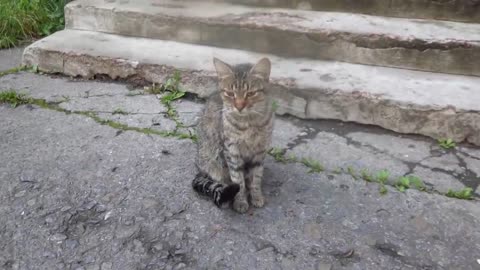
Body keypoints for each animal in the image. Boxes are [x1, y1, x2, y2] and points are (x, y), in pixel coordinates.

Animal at [191, 57, 274, 213]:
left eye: (250, 93)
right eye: (230, 94)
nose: (239, 106)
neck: (249, 124)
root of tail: (200, 169)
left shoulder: (260, 152)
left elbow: (256, 177)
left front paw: (256, 196)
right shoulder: (231, 151)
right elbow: (238, 180)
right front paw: (240, 201)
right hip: (213, 162)